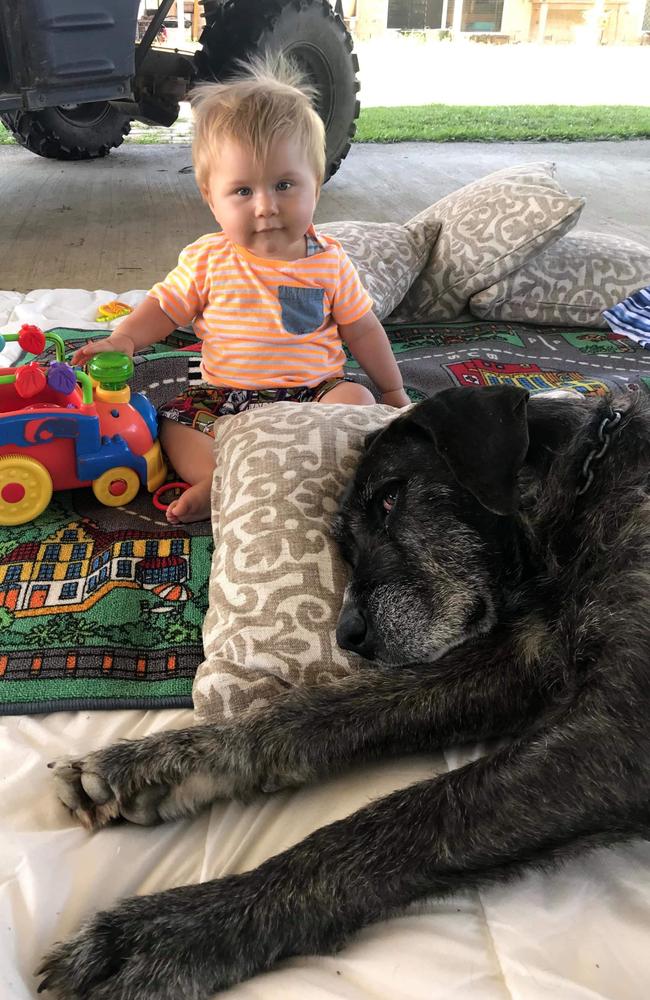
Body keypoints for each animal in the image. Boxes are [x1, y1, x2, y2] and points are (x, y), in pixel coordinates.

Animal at [36, 386, 648, 996]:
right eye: (346, 545)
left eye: (391, 498)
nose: (349, 635)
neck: (584, 482)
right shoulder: (522, 659)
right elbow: (322, 713)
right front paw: (157, 764)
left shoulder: (613, 735)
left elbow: (401, 822)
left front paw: (175, 930)